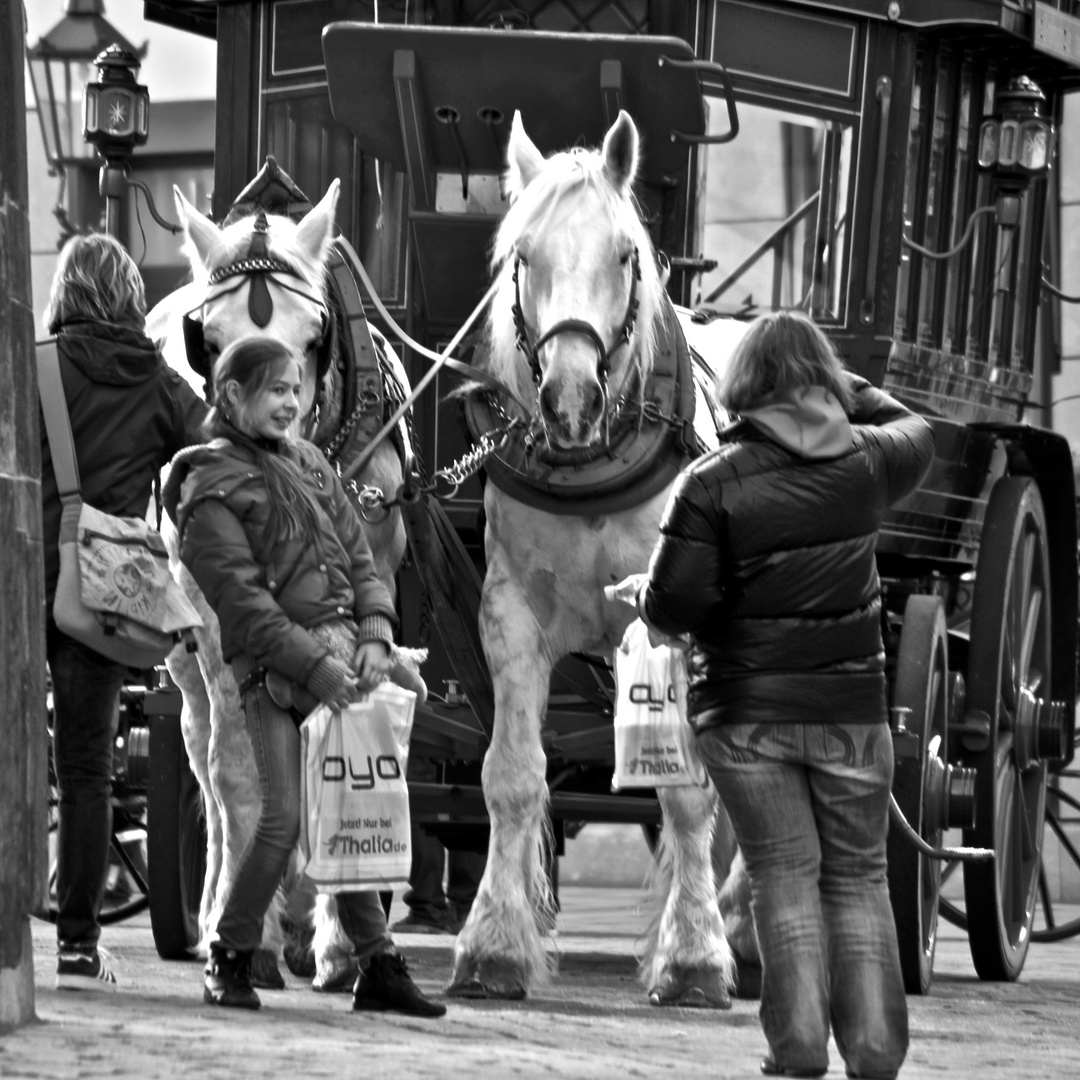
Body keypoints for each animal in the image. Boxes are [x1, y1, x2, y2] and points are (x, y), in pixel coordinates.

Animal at [150, 179, 419, 993]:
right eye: (209, 337)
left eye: (313, 334)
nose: (274, 410)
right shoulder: (221, 620)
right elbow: (241, 775)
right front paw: (247, 934)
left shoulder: (368, 587)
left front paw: (336, 937)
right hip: (183, 653)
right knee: (205, 756)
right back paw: (221, 904)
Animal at [447, 109, 760, 1002]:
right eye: (524, 255)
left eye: (625, 254)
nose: (571, 399)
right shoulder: (509, 617)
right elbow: (513, 776)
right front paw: (494, 945)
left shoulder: (666, 624)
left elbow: (686, 794)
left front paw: (694, 956)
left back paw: (740, 931)